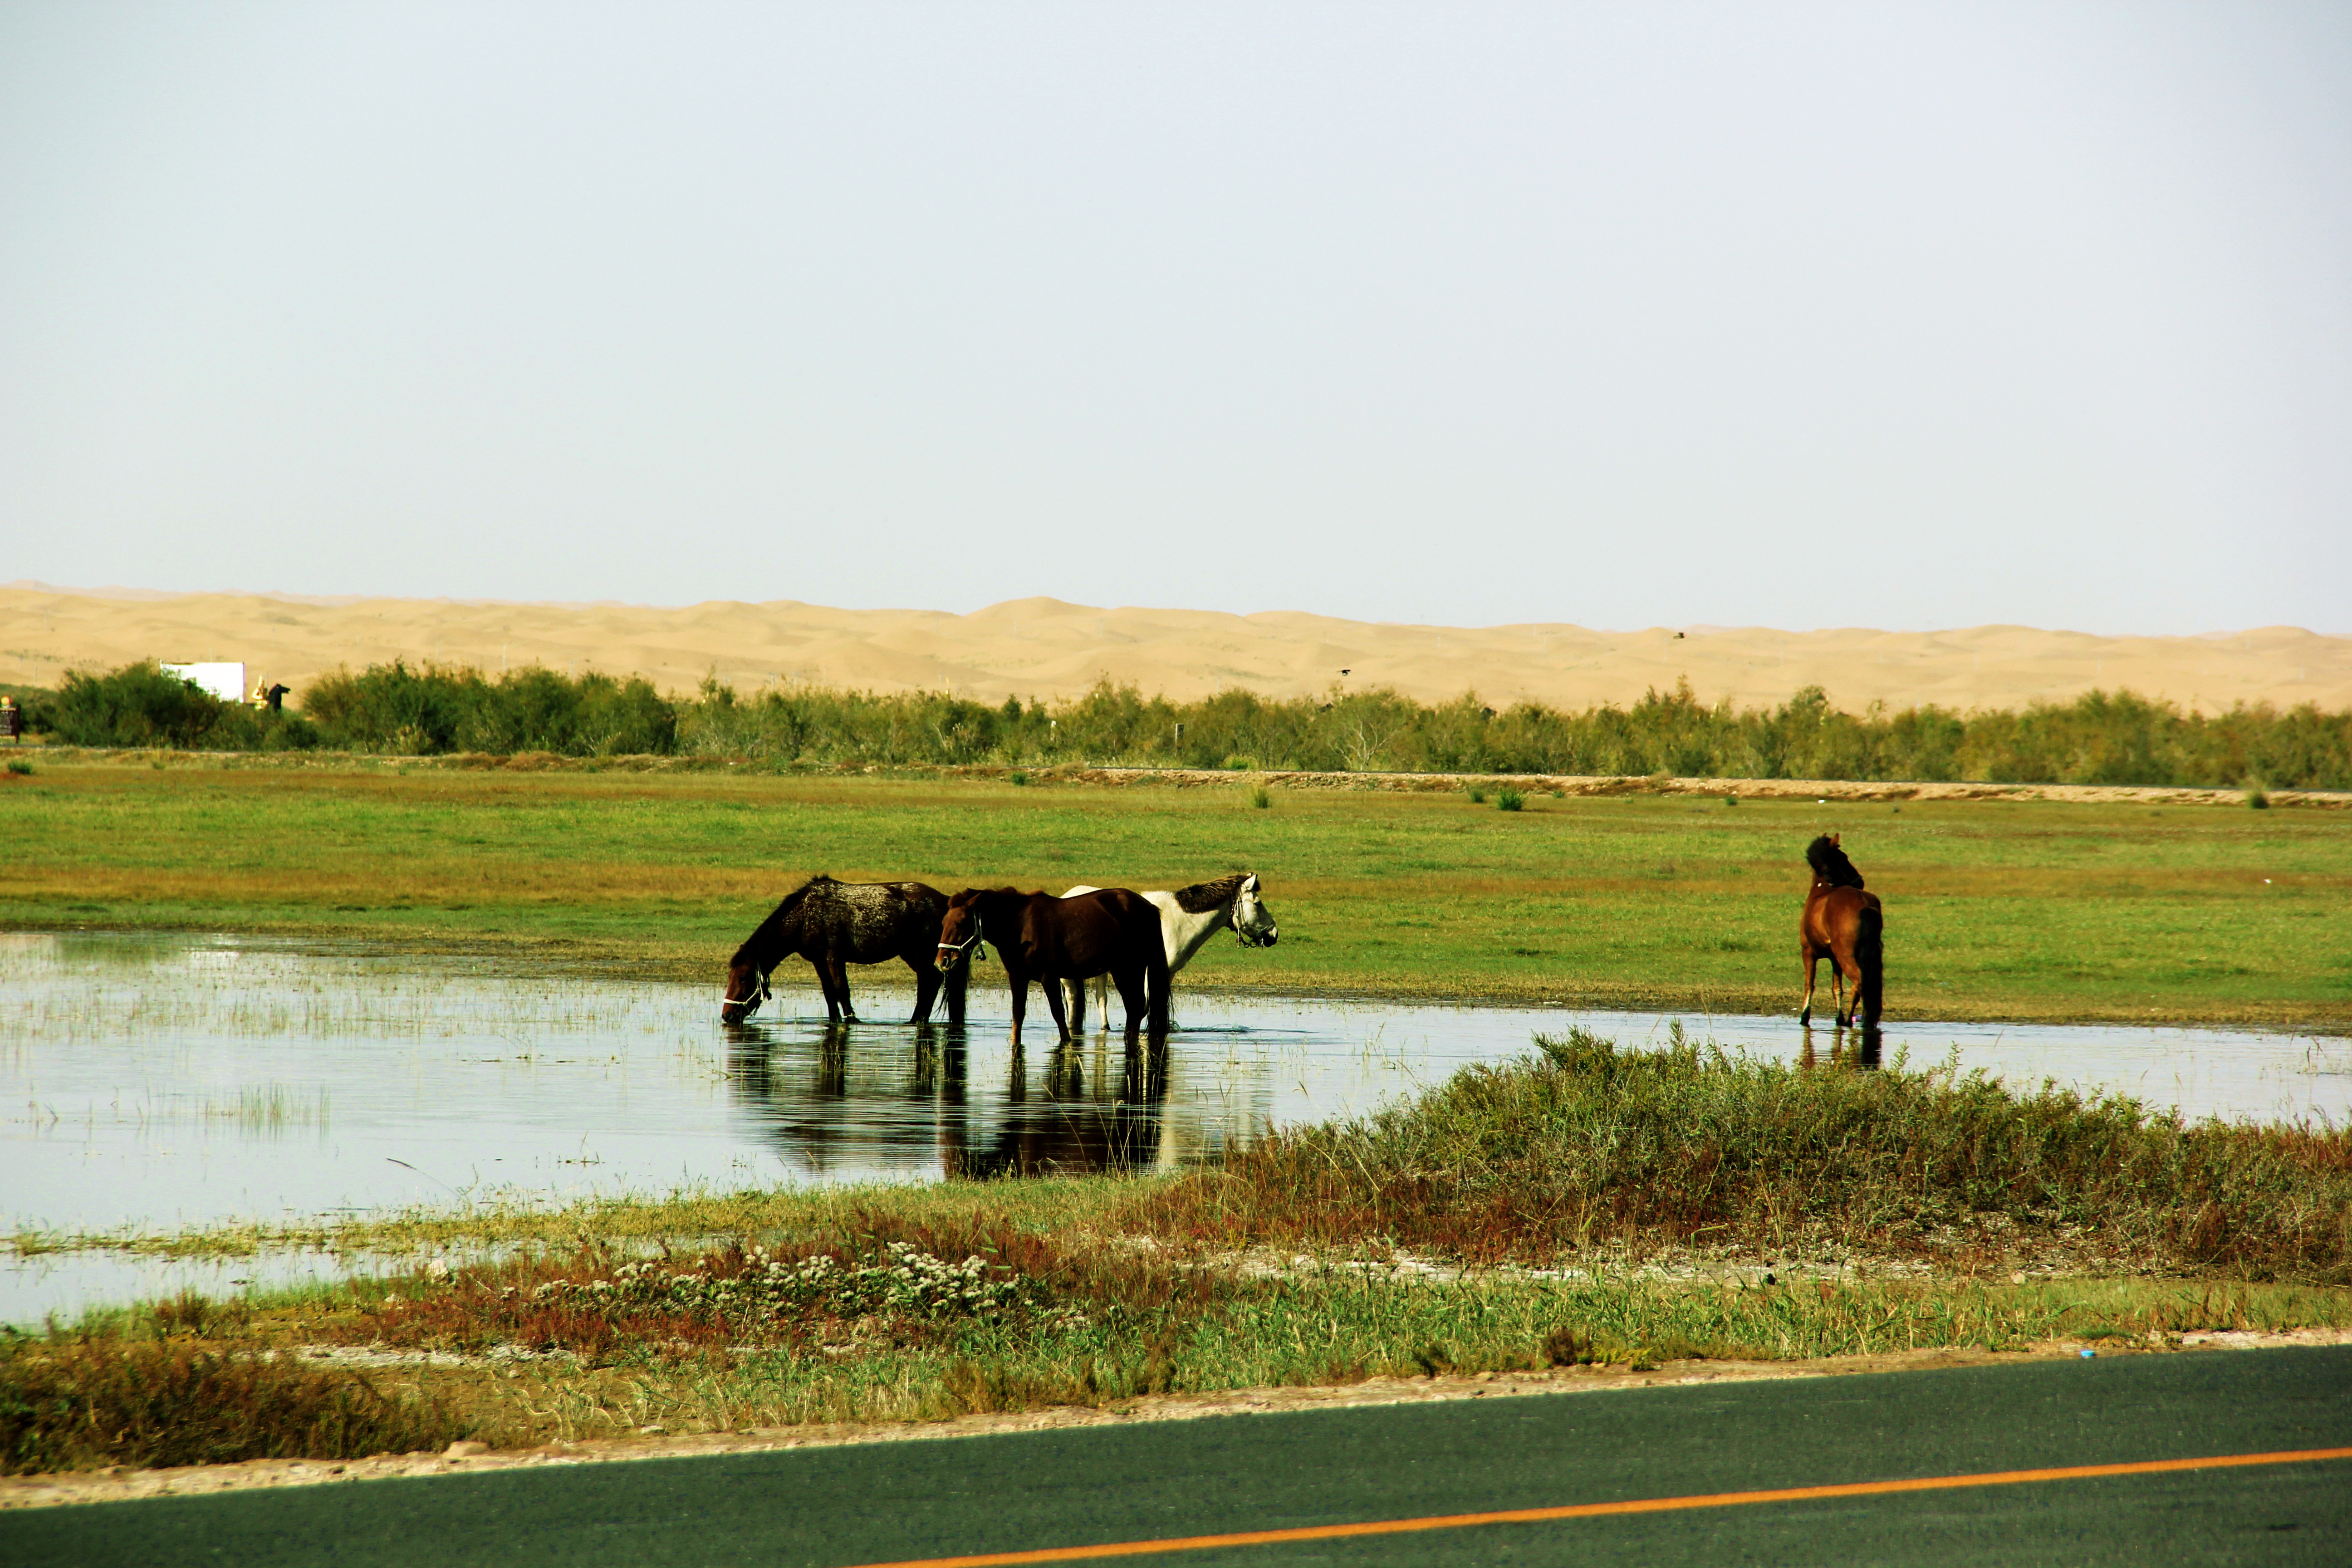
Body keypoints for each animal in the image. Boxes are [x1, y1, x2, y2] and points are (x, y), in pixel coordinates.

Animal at [720, 870, 969, 1029]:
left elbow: (842, 990)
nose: (727, 1015)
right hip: (910, 954)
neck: (805, 914)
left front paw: (851, 1020)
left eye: (744, 978)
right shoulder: (818, 960)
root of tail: (945, 901)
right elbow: (829, 993)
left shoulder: (834, 956)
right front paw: (836, 1020)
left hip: (921, 954)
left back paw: (916, 1021)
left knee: (928, 983)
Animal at [926, 884, 1166, 1044]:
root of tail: (1149, 907)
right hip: (1120, 970)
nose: (942, 962)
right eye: (943, 922)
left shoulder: (1049, 977)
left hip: (1133, 968)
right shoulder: (1017, 977)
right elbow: (1018, 1015)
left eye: (960, 923)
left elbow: (1059, 1014)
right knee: (1133, 1007)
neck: (1020, 926)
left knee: (1137, 1005)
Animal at [1068, 870, 1289, 1029]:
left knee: (1100, 998)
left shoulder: (1168, 973)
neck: (1178, 920)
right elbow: (1146, 1006)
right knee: (1072, 997)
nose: (1274, 933)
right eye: (1258, 904)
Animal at [1797, 832, 1891, 1029]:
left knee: (1859, 984)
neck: (1822, 889)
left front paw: (1805, 1016)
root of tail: (1863, 903)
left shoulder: (1808, 952)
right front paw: (1838, 1017)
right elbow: (1837, 988)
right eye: (1844, 857)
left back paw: (1851, 1021)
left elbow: (1810, 985)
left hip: (1846, 955)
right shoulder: (1834, 959)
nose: (1860, 881)